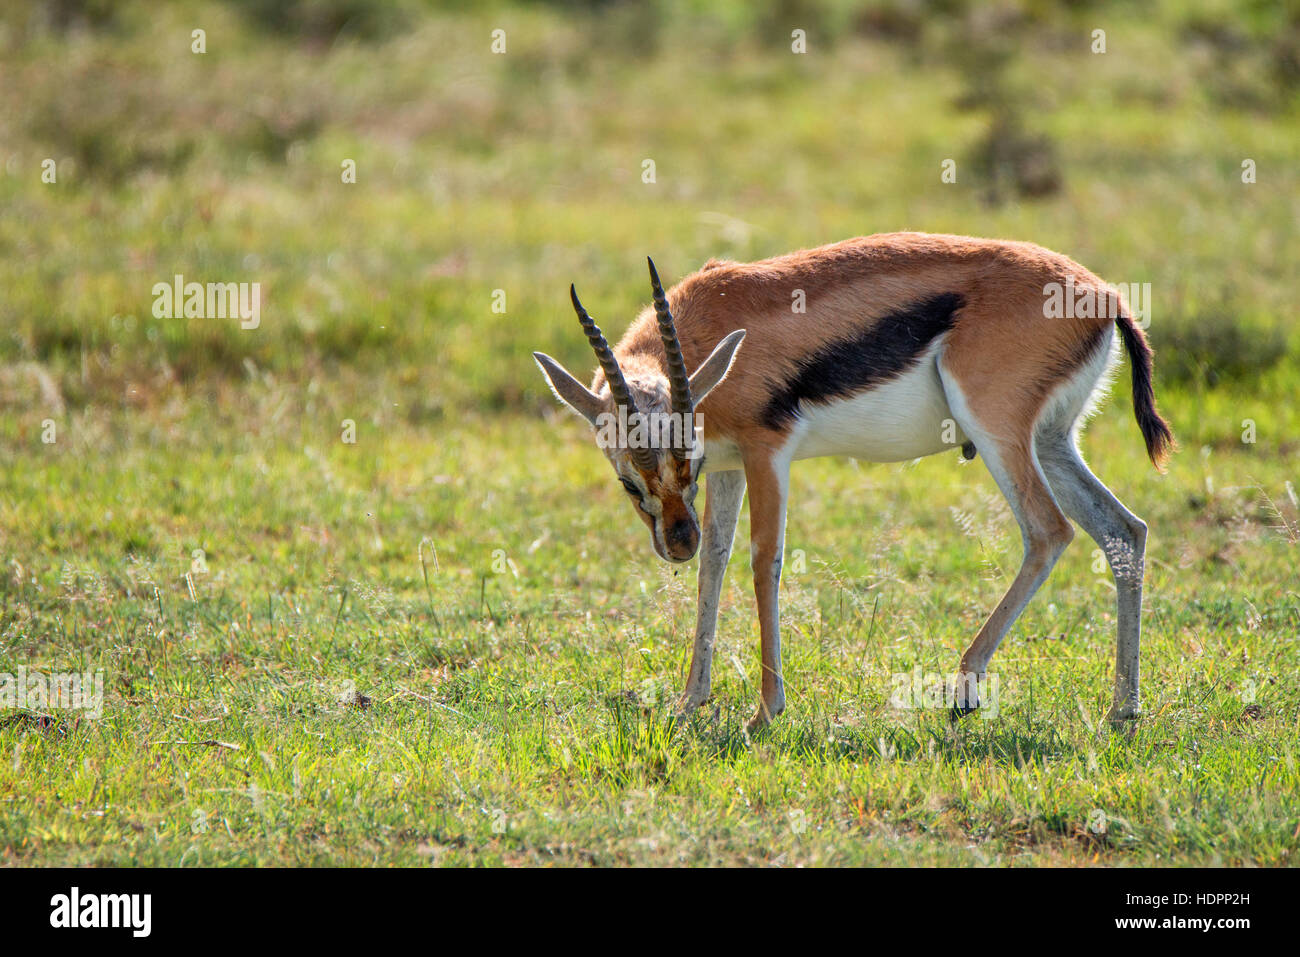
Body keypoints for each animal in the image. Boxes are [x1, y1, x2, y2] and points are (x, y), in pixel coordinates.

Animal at [533, 233, 1174, 732]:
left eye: (683, 462)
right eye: (629, 481)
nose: (675, 544)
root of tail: (1106, 297)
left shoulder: (767, 453)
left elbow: (764, 562)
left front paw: (766, 711)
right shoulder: (730, 468)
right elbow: (715, 563)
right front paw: (690, 700)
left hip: (995, 432)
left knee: (1048, 532)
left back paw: (964, 691)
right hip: (1052, 442)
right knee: (1124, 531)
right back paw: (1122, 710)